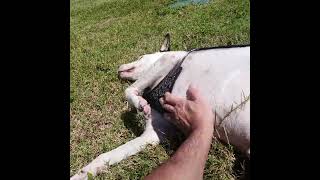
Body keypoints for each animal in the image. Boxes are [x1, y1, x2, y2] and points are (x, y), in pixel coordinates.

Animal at [72, 34, 250, 179]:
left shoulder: (167, 60)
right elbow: (107, 156)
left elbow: (128, 90)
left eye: (141, 56)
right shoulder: (154, 133)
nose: (118, 67)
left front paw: (140, 103)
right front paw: (83, 173)